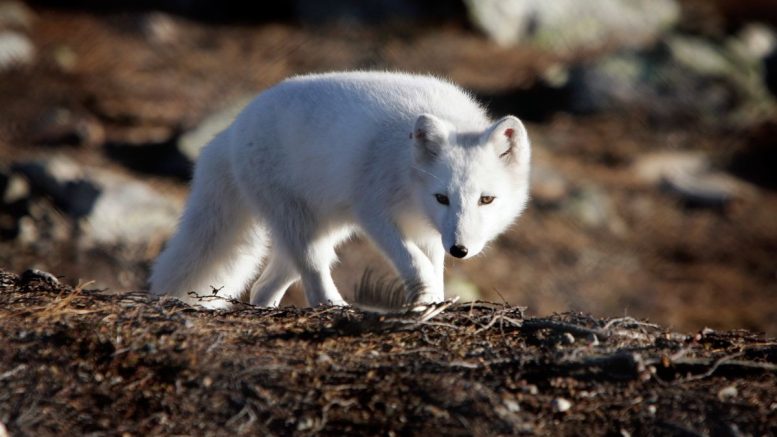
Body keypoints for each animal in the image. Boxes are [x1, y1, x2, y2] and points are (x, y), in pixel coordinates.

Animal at [149, 71, 531, 309]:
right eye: (443, 197)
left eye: (486, 200)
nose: (460, 250)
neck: (405, 166)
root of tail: (232, 128)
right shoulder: (375, 214)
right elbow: (416, 265)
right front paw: (423, 302)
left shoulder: (427, 231)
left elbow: (432, 269)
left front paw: (432, 305)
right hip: (303, 227)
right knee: (313, 273)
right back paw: (333, 307)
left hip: (325, 229)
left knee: (264, 286)